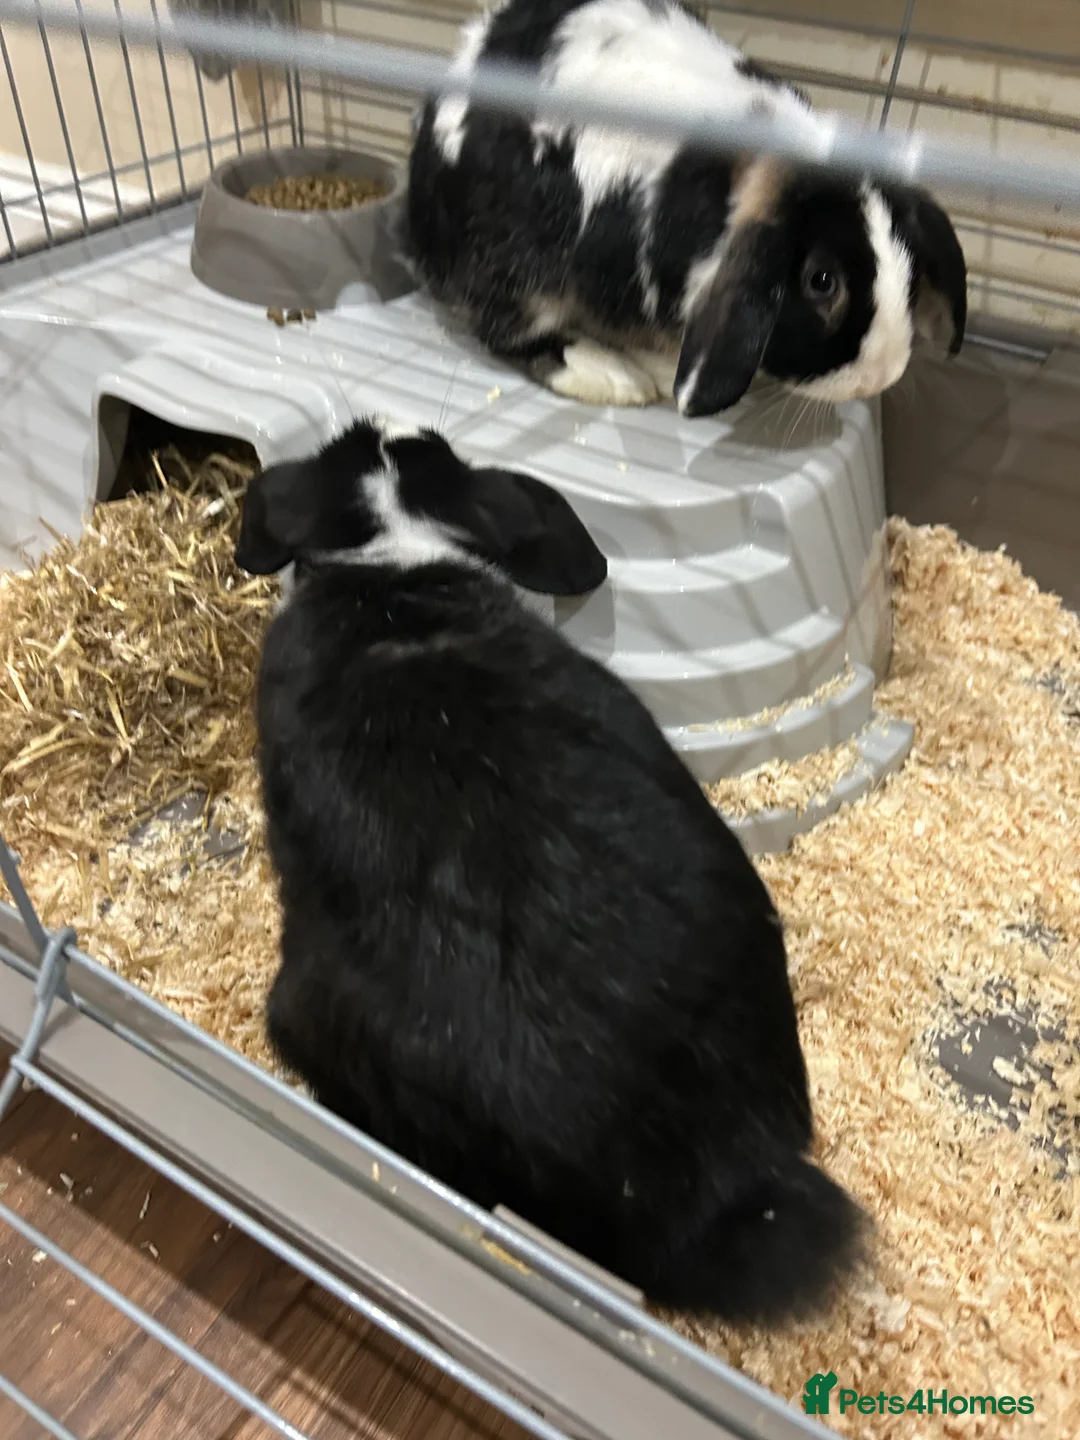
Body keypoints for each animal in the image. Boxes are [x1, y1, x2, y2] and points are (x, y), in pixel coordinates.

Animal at [406, 0, 968, 417]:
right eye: (822, 281)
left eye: (910, 265)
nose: (877, 378)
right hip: (514, 260)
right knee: (505, 328)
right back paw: (613, 376)